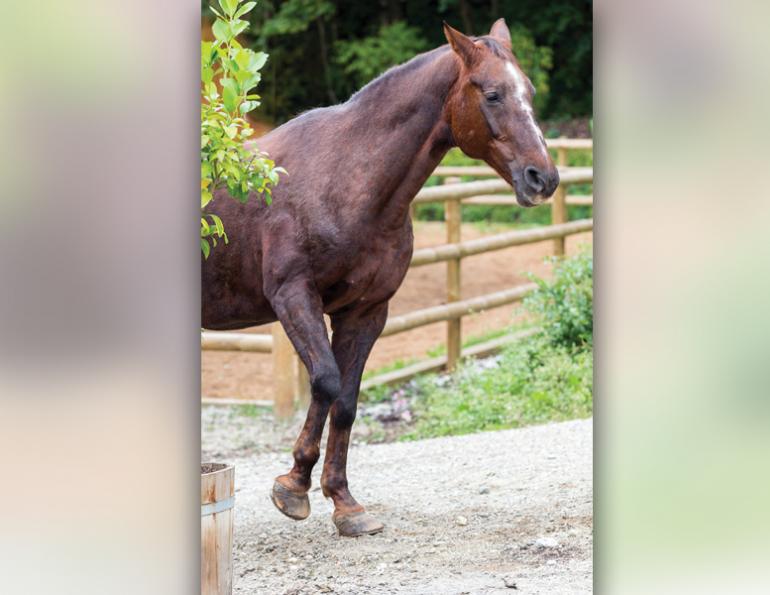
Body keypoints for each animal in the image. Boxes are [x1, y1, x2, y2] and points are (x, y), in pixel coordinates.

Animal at [202, 19, 559, 537]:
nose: (542, 179)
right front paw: (292, 488)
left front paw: (345, 504)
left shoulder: (366, 311)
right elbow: (326, 382)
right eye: (492, 94)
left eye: (528, 91)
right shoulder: (294, 296)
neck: (348, 179)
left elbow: (347, 401)